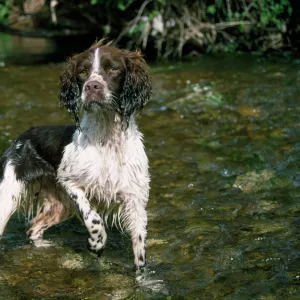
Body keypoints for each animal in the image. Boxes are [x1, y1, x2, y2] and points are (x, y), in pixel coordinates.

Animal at [0, 39, 151, 272]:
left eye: (113, 68)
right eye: (82, 72)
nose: (92, 86)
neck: (107, 138)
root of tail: (22, 136)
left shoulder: (136, 200)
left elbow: (140, 253)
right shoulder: (70, 182)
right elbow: (92, 217)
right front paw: (96, 243)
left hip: (59, 206)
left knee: (33, 228)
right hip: (8, 197)